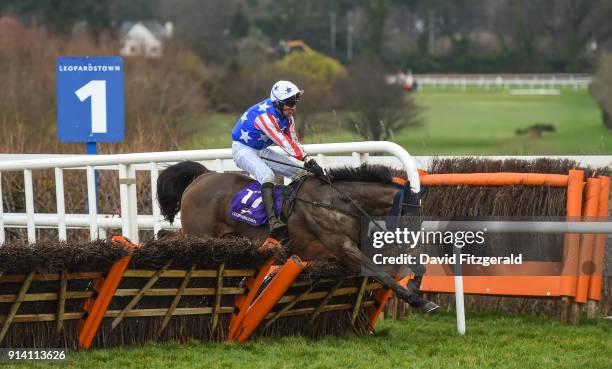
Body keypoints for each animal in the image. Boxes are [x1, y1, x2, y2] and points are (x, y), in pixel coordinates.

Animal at [158, 161, 436, 308]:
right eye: (409, 216)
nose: (412, 241)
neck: (336, 203)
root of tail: (202, 176)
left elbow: (414, 265)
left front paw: (416, 285)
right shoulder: (345, 250)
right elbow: (381, 274)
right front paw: (418, 301)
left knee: (165, 235)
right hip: (202, 236)